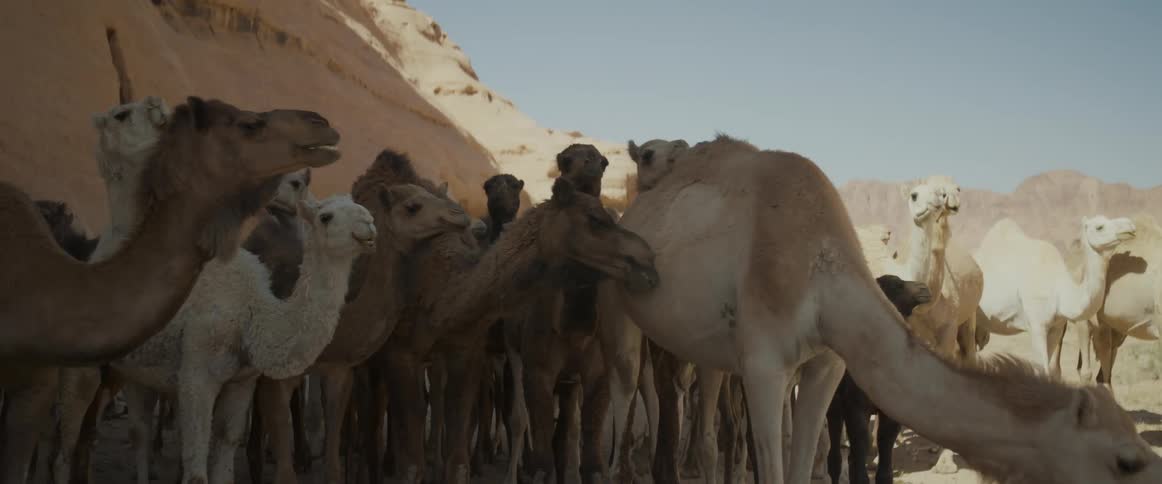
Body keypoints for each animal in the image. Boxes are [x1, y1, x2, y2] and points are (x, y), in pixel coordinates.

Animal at [826, 275, 931, 484]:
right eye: (897, 285)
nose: (924, 288)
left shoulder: (891, 410)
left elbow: (885, 441)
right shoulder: (855, 406)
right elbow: (861, 441)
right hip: (834, 401)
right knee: (835, 452)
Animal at [1068, 213, 1162, 391]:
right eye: (1099, 227)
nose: (1129, 225)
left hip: (1115, 329)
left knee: (1103, 374)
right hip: (1085, 322)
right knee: (1085, 372)